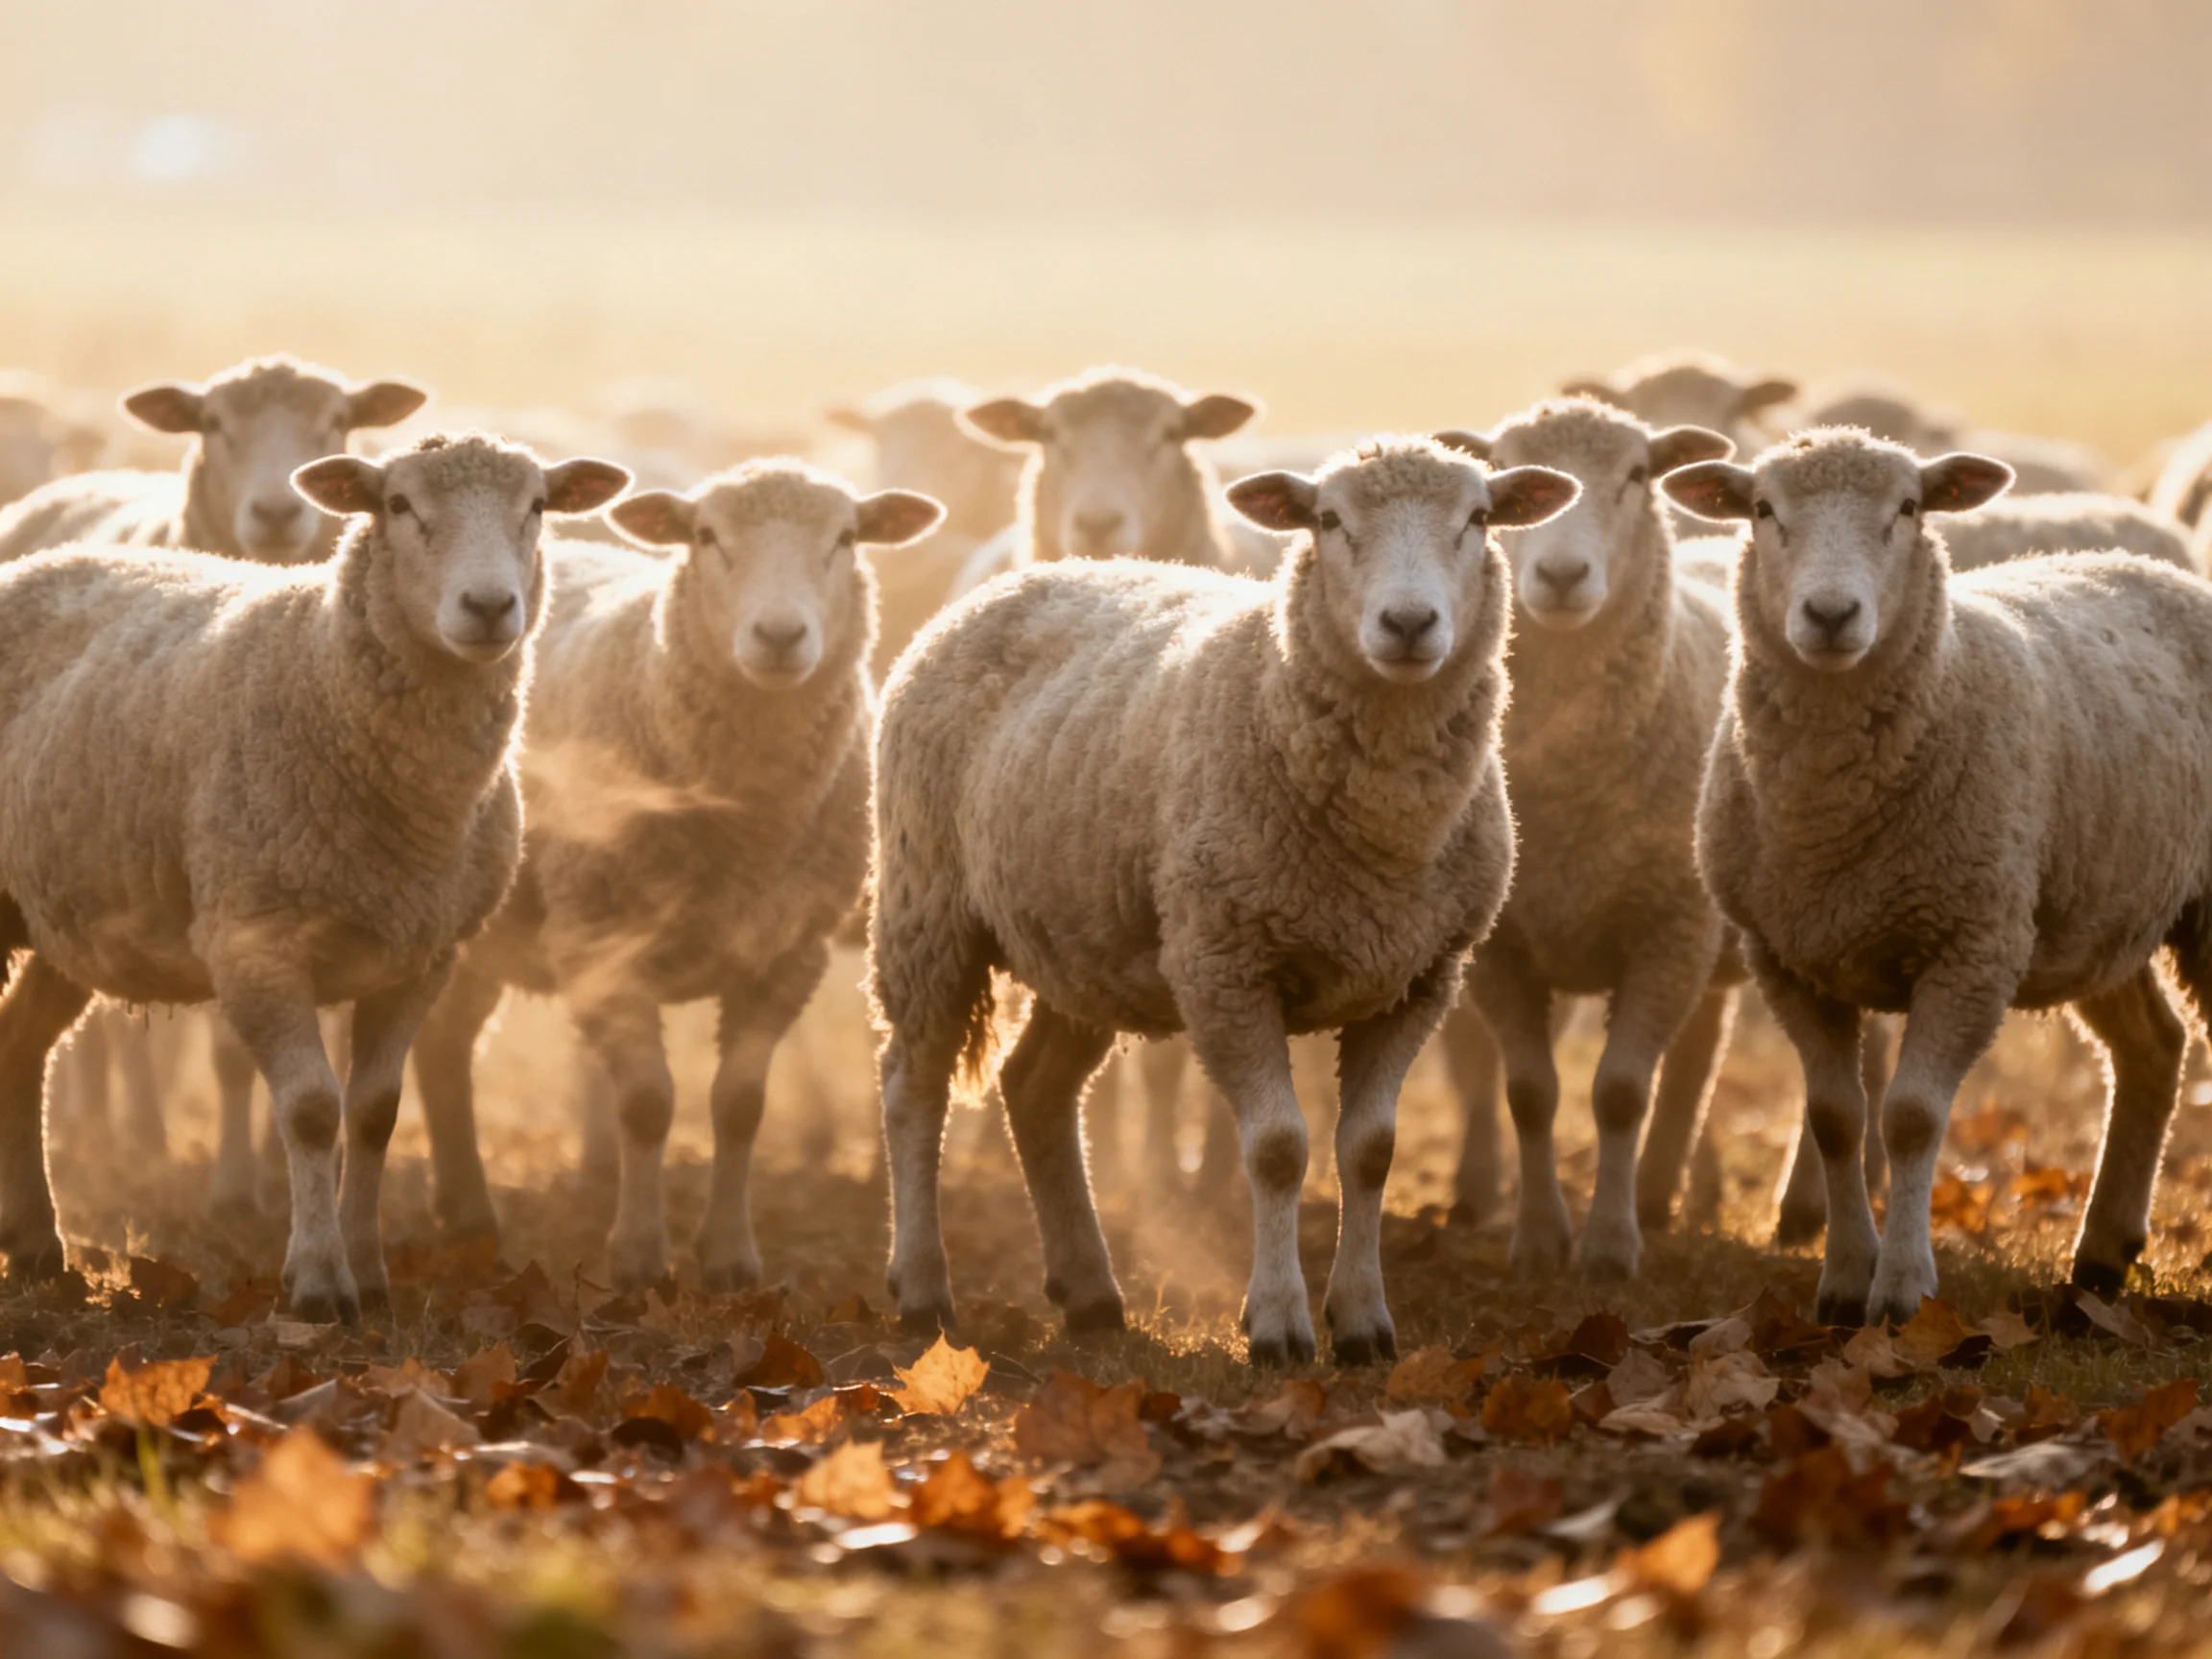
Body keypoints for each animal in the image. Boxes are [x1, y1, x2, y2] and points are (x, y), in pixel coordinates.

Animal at [0, 433, 628, 1319]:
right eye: (397, 504)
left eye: (537, 505)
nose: (488, 606)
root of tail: (33, 561)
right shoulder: (255, 942)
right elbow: (307, 1110)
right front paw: (319, 1284)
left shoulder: (421, 956)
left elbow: (372, 1113)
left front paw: (368, 1271)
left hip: (71, 910)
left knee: (21, 1044)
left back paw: (35, 1246)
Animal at [412, 460, 942, 1288]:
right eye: (706, 536)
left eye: (847, 537)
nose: (780, 636)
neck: (745, 829)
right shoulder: (601, 938)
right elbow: (646, 1104)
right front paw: (637, 1255)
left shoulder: (788, 953)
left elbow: (739, 1104)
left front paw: (729, 1256)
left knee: (444, 1045)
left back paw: (467, 1216)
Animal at [871, 437, 1579, 1364]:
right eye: (1327, 520)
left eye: (1479, 519)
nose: (1408, 624)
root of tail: (1027, 575)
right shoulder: (1226, 962)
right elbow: (1277, 1149)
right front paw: (1277, 1324)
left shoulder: (1419, 976)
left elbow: (1371, 1150)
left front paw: (1363, 1322)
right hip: (929, 906)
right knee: (911, 1086)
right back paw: (922, 1290)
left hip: (1085, 933)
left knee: (1036, 1089)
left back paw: (1091, 1293)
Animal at [1431, 400, 1744, 1276]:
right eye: (1503, 475)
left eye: (1637, 474)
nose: (1562, 575)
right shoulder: (1502, 947)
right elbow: (1530, 1093)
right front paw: (1541, 1239)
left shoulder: (1667, 930)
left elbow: (1620, 1092)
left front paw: (1607, 1246)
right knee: (1699, 1053)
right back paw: (1666, 1190)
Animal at [1665, 427, 2212, 1325]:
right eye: (1763, 509)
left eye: (1910, 508)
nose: (1830, 615)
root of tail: (2157, 569)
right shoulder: (1785, 955)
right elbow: (1835, 1118)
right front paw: (1843, 1281)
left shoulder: (1970, 947)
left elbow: (1913, 1119)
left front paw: (1903, 1289)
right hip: (2093, 908)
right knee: (2154, 1048)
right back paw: (2102, 1254)